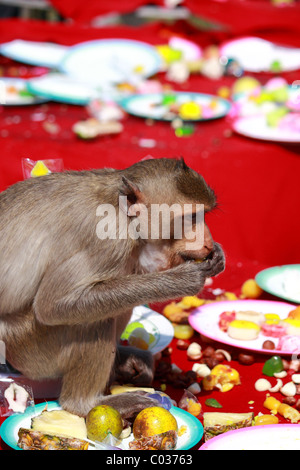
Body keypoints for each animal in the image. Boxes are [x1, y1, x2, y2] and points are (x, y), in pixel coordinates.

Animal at [0, 158, 225, 418]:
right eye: (189, 217)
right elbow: (52, 305)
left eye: (203, 215)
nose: (207, 242)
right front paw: (182, 280)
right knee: (92, 322)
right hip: (30, 350)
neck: (120, 209)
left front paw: (217, 257)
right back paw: (86, 403)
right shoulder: (107, 239)